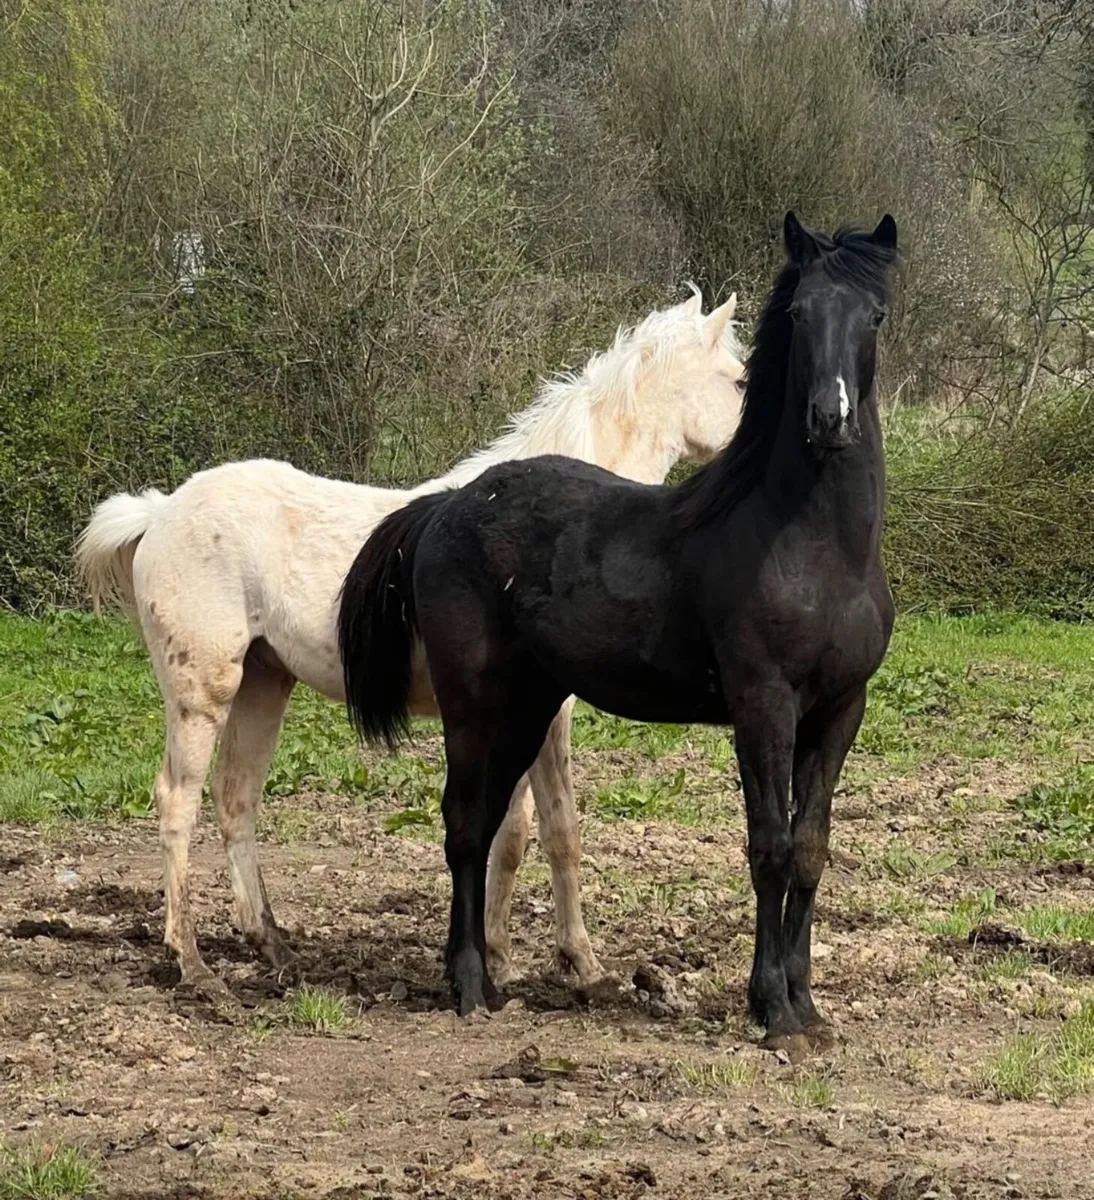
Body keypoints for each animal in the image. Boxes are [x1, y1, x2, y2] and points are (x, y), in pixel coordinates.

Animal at [76, 289, 744, 1003]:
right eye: (739, 380)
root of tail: (160, 512)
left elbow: (537, 831)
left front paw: (544, 962)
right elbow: (530, 831)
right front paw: (529, 963)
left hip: (263, 683)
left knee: (237, 801)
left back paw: (271, 944)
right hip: (203, 692)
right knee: (178, 800)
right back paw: (193, 963)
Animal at [338, 213, 898, 1053]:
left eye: (875, 316)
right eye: (799, 316)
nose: (829, 421)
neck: (815, 546)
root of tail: (447, 506)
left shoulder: (838, 711)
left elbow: (808, 848)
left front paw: (806, 1009)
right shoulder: (763, 707)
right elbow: (767, 847)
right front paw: (771, 1009)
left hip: (529, 708)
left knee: (490, 821)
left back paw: (484, 979)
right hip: (474, 705)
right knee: (465, 824)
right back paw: (469, 987)